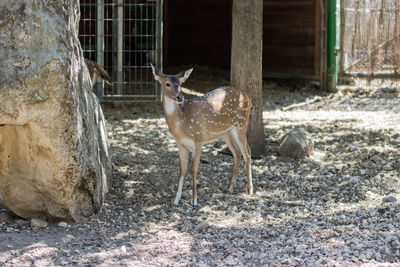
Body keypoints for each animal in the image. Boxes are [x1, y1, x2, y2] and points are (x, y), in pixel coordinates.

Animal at [150, 64, 253, 207]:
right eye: (167, 84)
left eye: (180, 84)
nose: (180, 97)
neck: (182, 123)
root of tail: (248, 97)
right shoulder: (180, 143)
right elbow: (182, 170)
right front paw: (176, 200)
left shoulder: (198, 138)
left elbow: (193, 169)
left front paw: (194, 201)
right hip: (226, 132)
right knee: (237, 153)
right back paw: (231, 187)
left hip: (241, 124)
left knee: (247, 152)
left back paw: (250, 190)